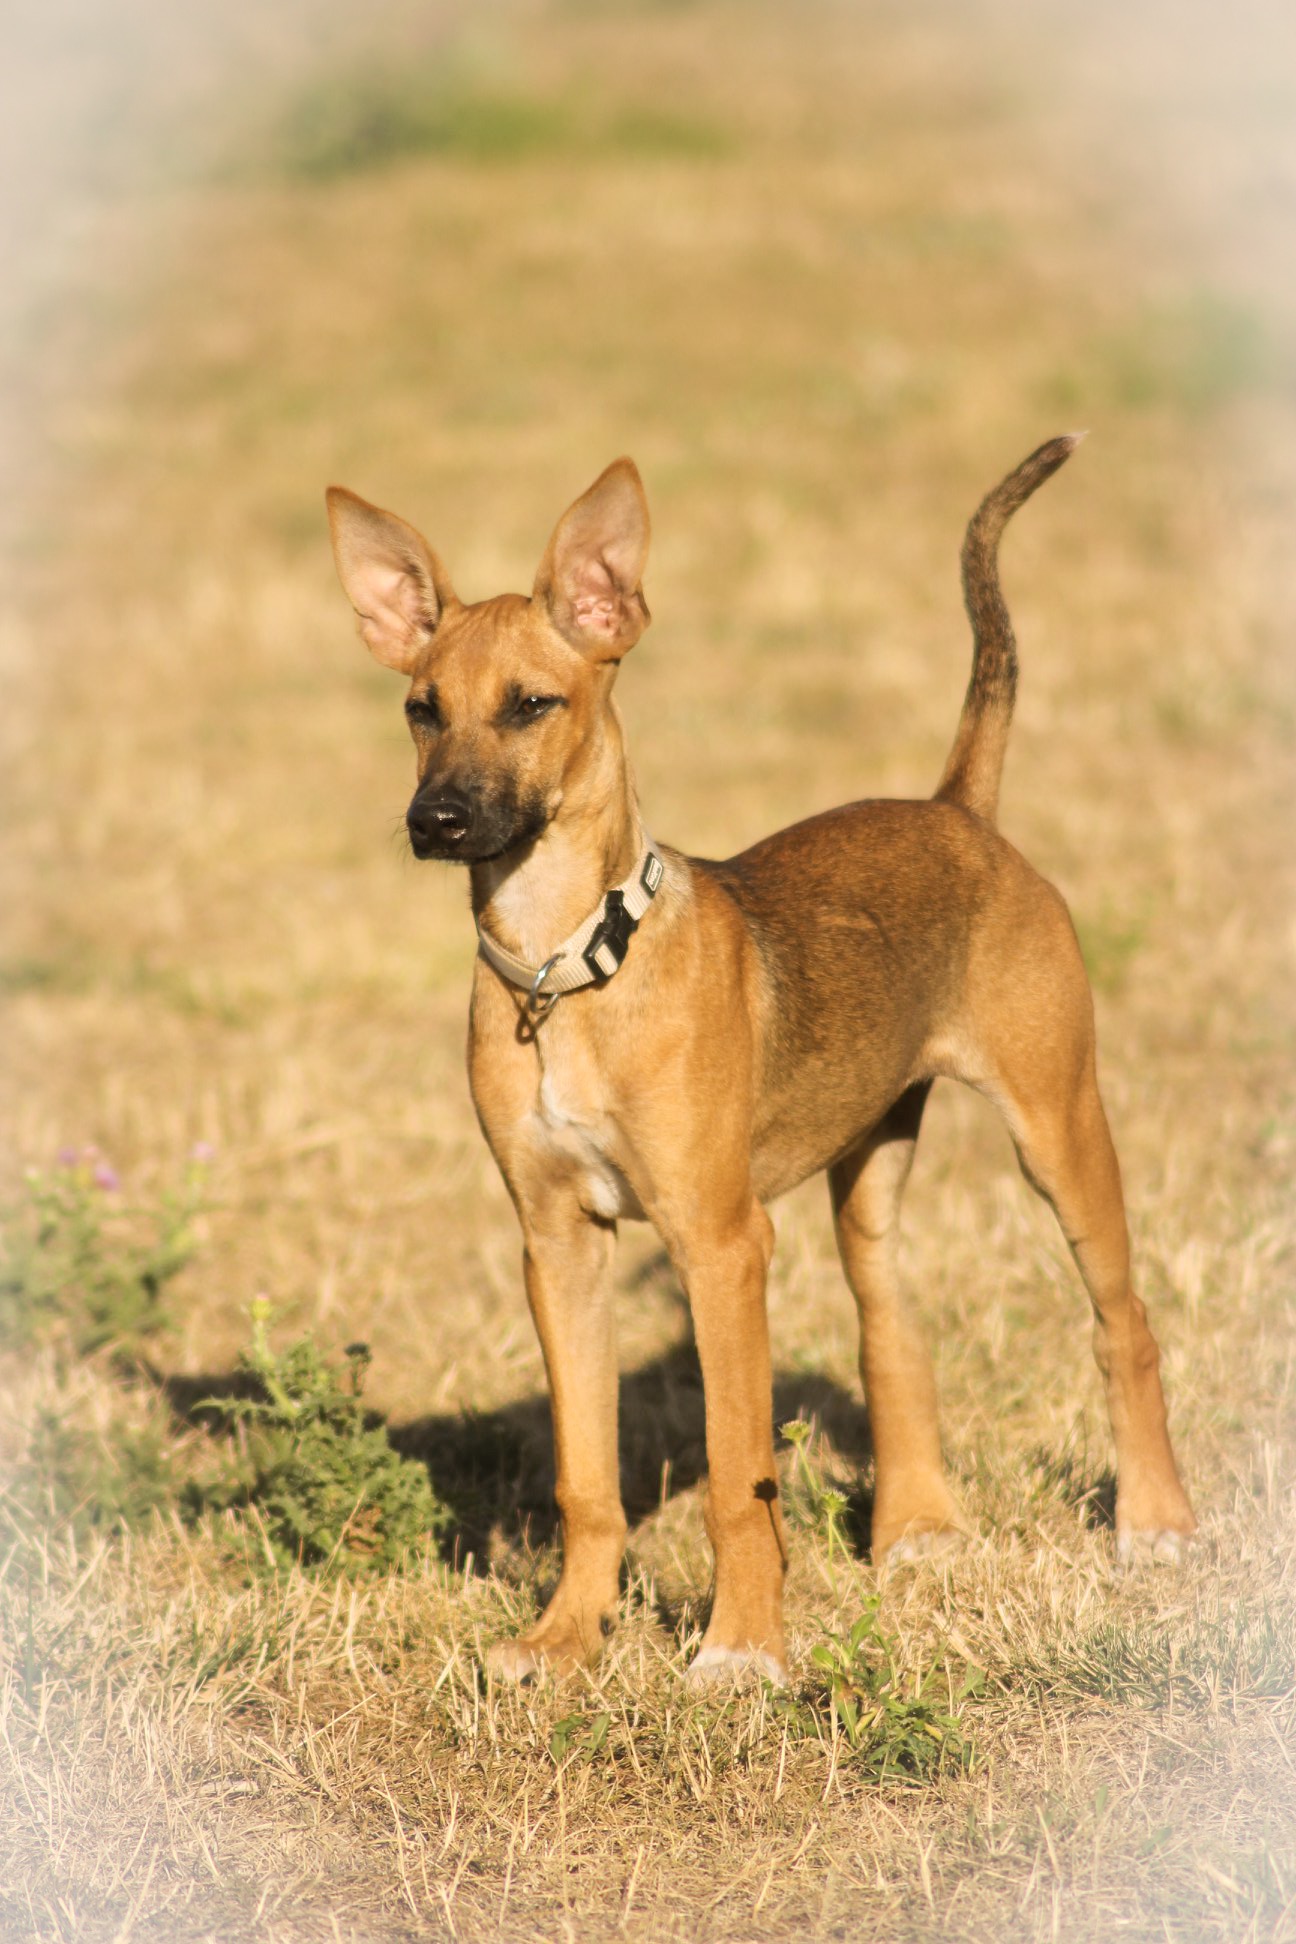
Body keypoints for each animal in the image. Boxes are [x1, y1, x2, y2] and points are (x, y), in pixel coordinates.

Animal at [326, 438, 1196, 1684]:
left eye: (531, 705)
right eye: (419, 710)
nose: (435, 818)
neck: (570, 970)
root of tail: (960, 812)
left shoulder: (724, 1245)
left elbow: (740, 1476)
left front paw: (742, 1652)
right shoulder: (558, 1248)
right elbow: (585, 1479)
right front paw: (565, 1638)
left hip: (1059, 1122)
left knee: (1123, 1321)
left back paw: (1155, 1523)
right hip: (868, 1173)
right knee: (895, 1329)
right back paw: (918, 1530)